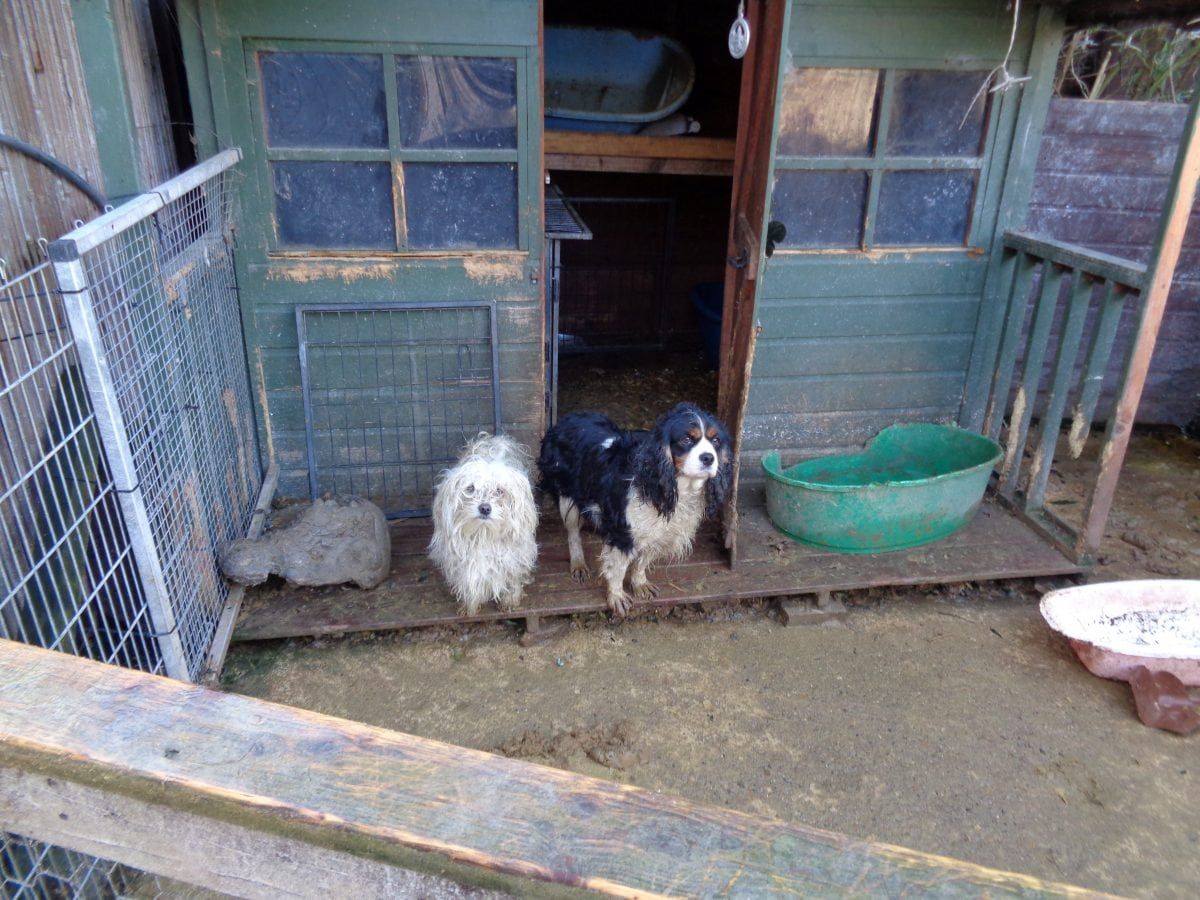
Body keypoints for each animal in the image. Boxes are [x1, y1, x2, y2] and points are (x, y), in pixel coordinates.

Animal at [429, 434, 537, 619]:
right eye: (470, 488)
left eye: (500, 490)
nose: (485, 508)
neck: (484, 534)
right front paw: (470, 604)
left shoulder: (513, 558)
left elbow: (512, 580)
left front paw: (509, 600)